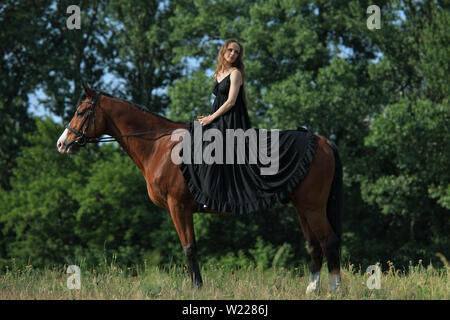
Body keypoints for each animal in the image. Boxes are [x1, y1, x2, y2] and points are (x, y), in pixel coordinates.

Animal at [57, 84, 344, 294]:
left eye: (80, 112)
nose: (62, 143)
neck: (160, 145)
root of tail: (321, 140)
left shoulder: (179, 206)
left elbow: (189, 248)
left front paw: (197, 288)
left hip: (313, 207)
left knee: (328, 241)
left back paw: (335, 290)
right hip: (301, 207)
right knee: (314, 245)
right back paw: (312, 289)